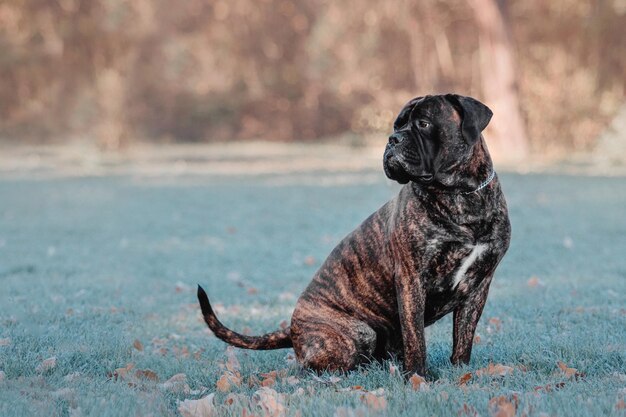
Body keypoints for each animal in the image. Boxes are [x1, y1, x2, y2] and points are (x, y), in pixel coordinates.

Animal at [197, 94, 510, 376]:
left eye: (423, 123)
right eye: (397, 125)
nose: (393, 139)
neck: (460, 194)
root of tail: (292, 328)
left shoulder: (479, 286)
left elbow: (464, 336)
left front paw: (460, 371)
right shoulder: (412, 281)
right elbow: (416, 338)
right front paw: (418, 376)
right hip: (357, 332)